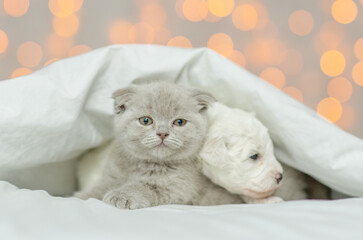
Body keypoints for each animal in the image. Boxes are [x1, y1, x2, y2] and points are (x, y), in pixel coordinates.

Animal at [75, 82, 242, 208]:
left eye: (179, 122)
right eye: (146, 120)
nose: (162, 133)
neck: (142, 165)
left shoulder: (178, 189)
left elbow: (144, 186)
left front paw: (121, 195)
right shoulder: (111, 176)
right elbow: (98, 189)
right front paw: (80, 197)